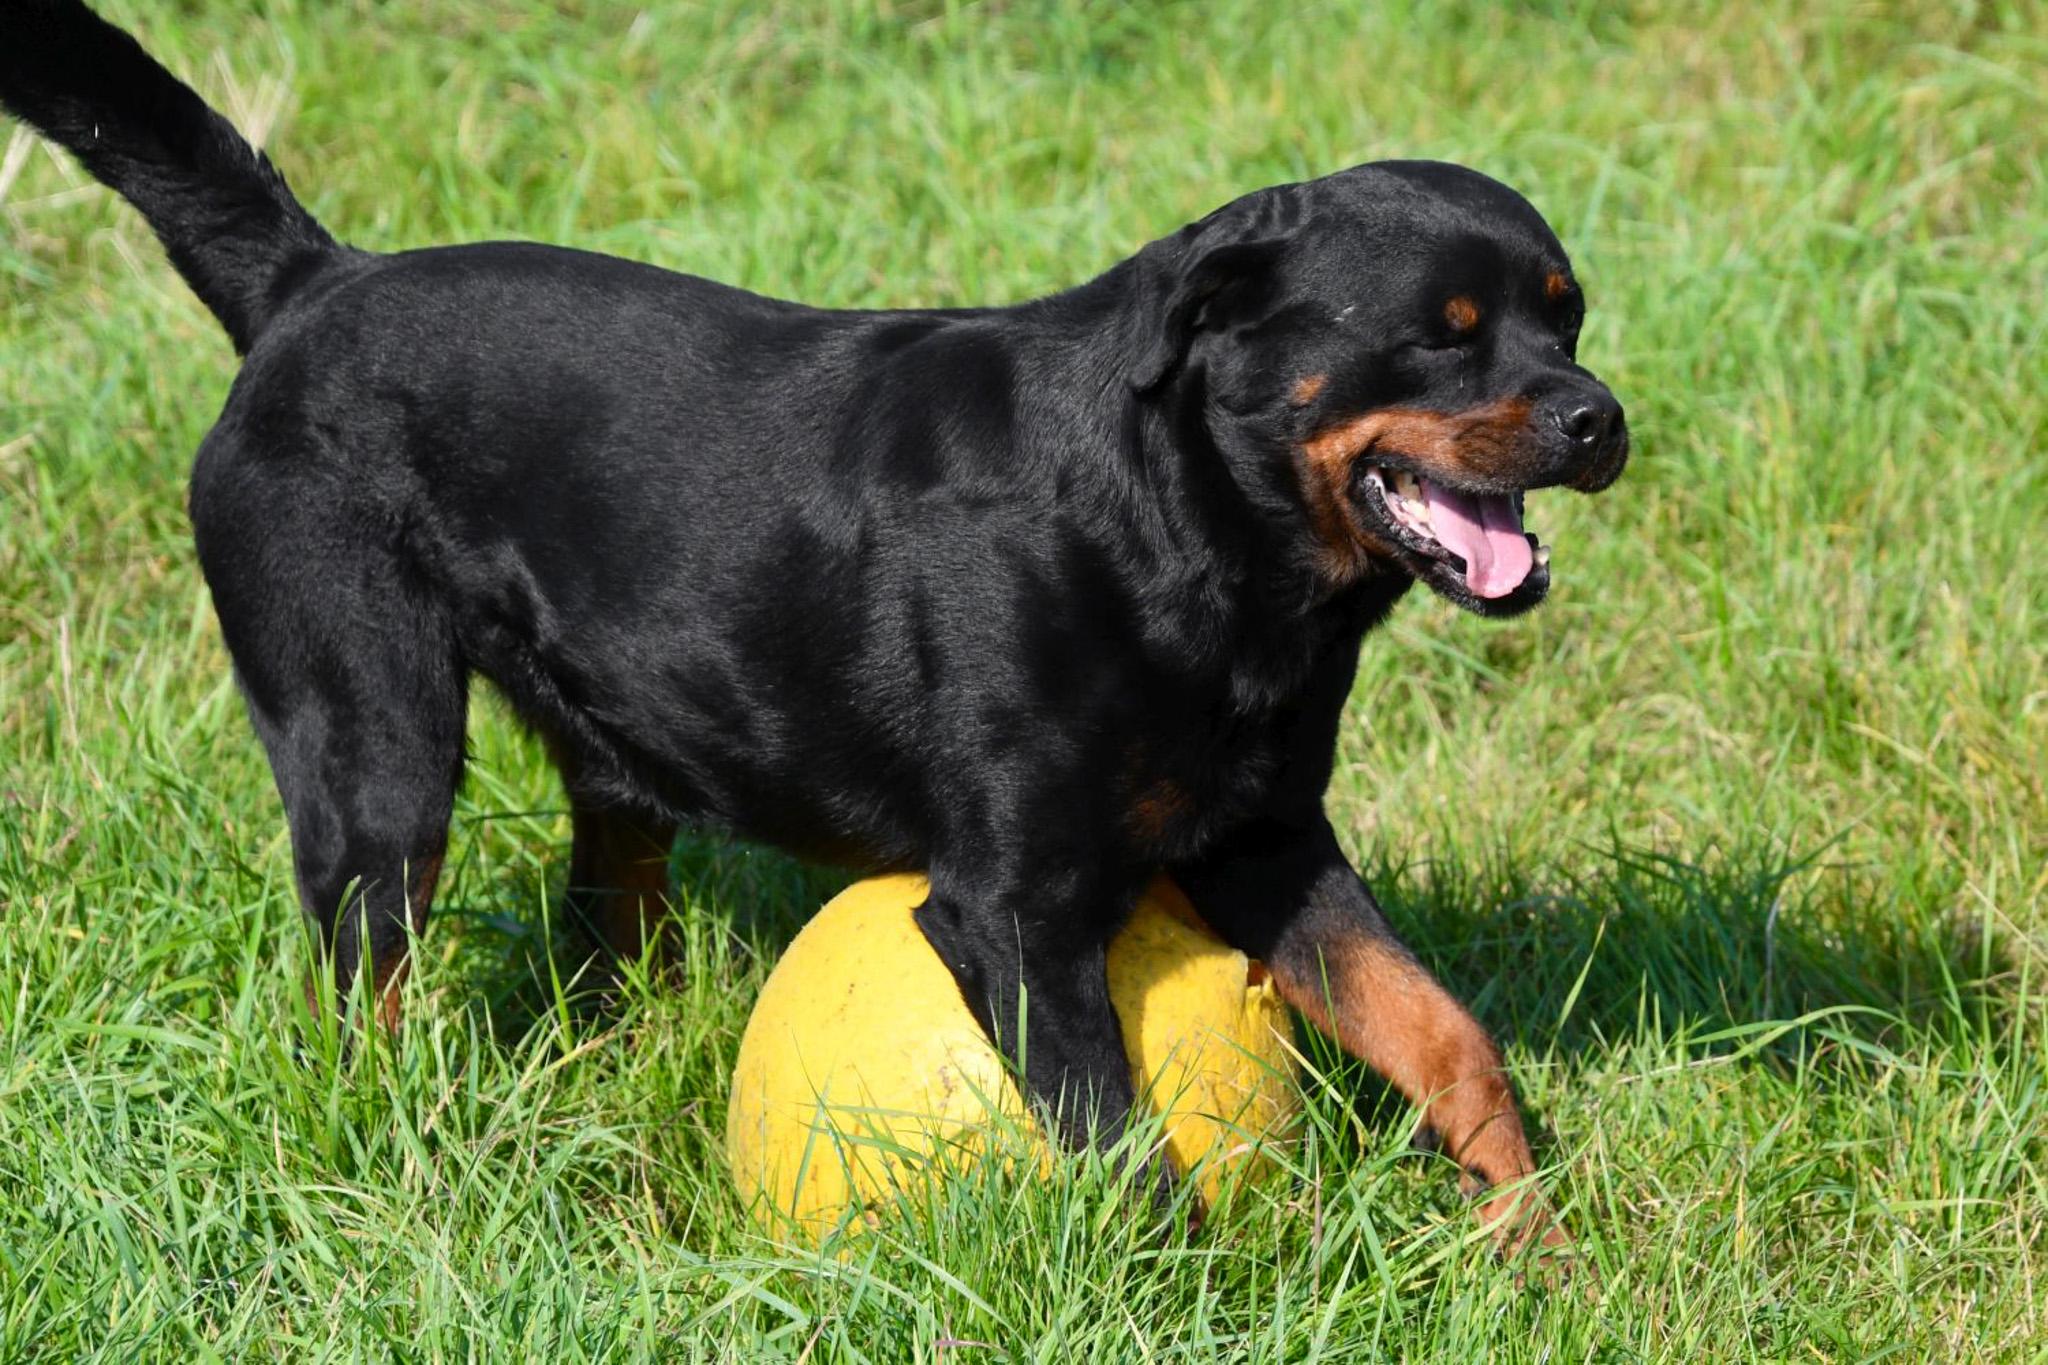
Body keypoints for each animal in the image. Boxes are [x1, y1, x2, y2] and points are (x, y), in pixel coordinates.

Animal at [4, 0, 1630, 1252]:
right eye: (1441, 333)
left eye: (1567, 316)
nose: (1598, 417)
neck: (1192, 527)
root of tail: (310, 288)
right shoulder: (1013, 912)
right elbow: (1123, 1150)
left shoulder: (1264, 835)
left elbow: (1442, 1033)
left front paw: (1536, 1250)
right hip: (372, 744)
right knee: (370, 975)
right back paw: (406, 1136)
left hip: (609, 762)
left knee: (606, 924)